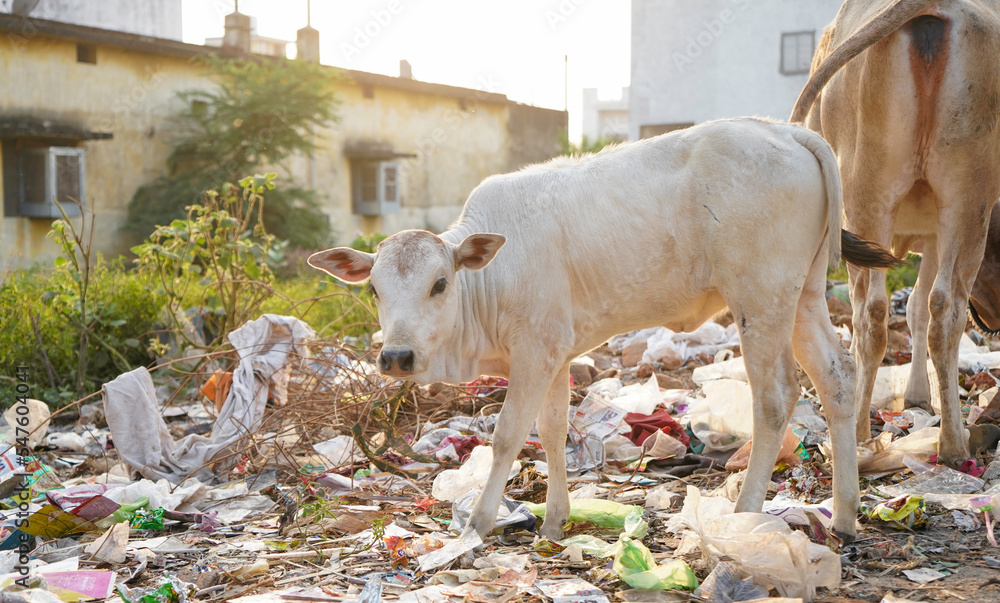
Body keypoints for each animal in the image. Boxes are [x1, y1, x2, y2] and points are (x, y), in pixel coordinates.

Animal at [309, 118, 897, 542]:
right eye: (374, 290)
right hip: (803, 298)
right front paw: (553, 519)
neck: (487, 279)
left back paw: (745, 512)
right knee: (836, 379)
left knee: (774, 398)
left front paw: (478, 523)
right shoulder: (554, 353)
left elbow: (506, 435)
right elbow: (550, 431)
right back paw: (846, 514)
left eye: (438, 283)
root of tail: (786, 130)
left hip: (761, 299)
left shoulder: (533, 351)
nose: (396, 357)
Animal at [790, 0, 1000, 467]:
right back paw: (953, 443)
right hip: (966, 197)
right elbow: (922, 305)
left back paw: (860, 432)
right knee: (944, 309)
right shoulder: (935, 233)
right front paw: (923, 397)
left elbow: (915, 306)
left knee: (871, 313)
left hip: (867, 193)